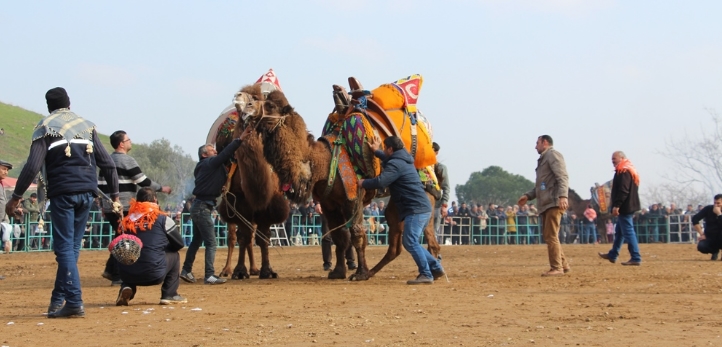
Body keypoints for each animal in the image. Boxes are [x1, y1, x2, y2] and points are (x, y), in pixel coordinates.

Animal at [243, 77, 438, 282]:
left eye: (271, 105)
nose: (247, 108)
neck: (322, 163)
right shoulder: (328, 204)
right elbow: (339, 237)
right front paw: (338, 272)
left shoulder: (353, 196)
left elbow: (357, 234)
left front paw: (359, 273)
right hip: (397, 201)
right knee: (396, 241)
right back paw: (379, 271)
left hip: (424, 193)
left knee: (427, 235)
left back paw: (429, 273)